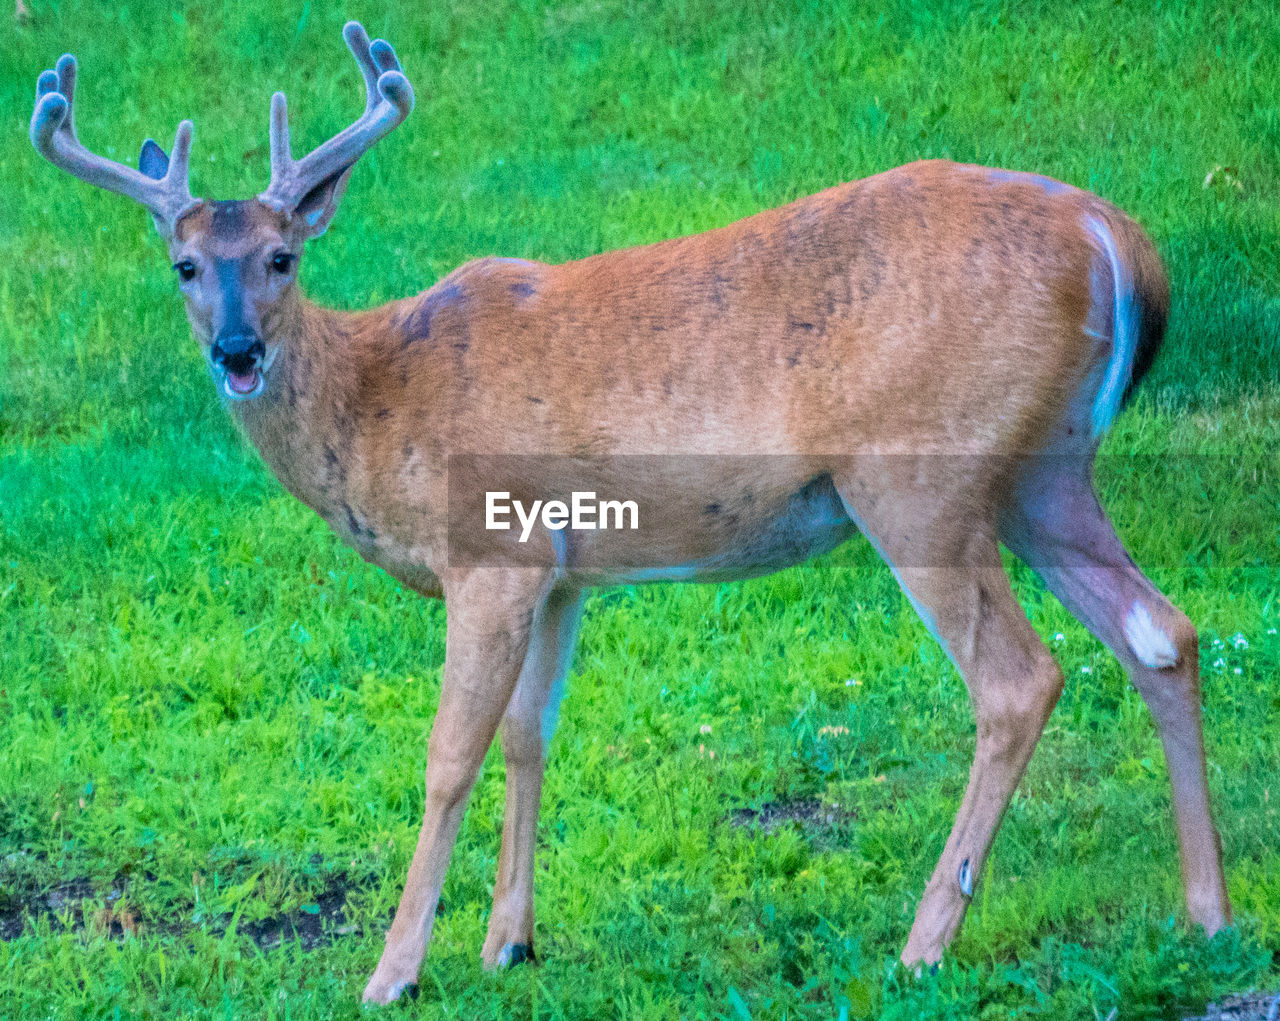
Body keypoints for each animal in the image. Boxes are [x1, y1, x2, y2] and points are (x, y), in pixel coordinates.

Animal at [27, 17, 1228, 1008]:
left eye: (282, 257)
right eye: (184, 265)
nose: (237, 351)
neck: (379, 398)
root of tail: (1114, 237)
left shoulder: (490, 550)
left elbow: (449, 753)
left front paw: (393, 969)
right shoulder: (560, 570)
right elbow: (528, 733)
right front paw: (507, 942)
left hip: (917, 480)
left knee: (1020, 679)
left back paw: (923, 943)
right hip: (1043, 472)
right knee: (1161, 631)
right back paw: (1206, 913)